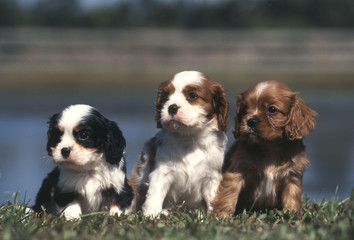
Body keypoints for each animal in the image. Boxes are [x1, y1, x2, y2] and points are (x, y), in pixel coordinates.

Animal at [129, 70, 228, 217]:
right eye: (166, 97)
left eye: (192, 95)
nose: (172, 107)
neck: (189, 137)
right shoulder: (162, 173)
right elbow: (154, 196)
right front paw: (151, 216)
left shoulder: (212, 176)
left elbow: (213, 199)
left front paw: (215, 216)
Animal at [212, 81, 316, 218]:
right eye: (244, 109)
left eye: (272, 110)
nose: (250, 121)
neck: (269, 146)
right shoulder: (238, 170)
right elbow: (229, 193)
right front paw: (222, 215)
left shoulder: (292, 176)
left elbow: (292, 197)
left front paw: (292, 215)